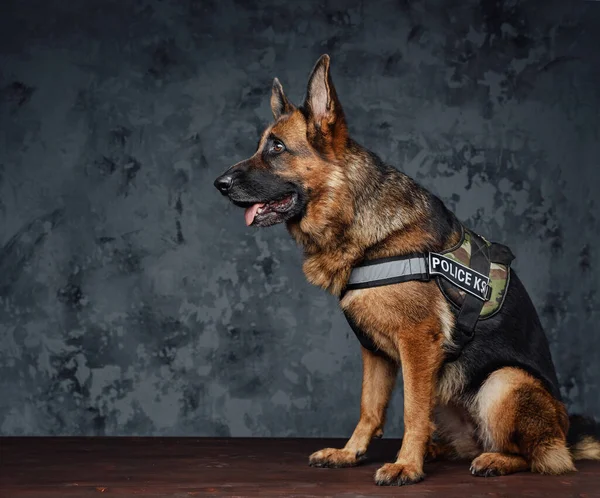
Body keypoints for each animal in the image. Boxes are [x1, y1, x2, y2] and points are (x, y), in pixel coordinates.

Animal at [212, 55, 600, 486]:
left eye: (276, 147)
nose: (219, 183)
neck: (354, 215)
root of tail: (565, 432)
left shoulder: (417, 343)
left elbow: (411, 411)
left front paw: (406, 465)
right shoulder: (373, 351)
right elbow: (370, 408)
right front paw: (351, 453)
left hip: (503, 383)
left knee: (540, 456)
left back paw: (494, 460)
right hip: (447, 392)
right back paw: (437, 450)